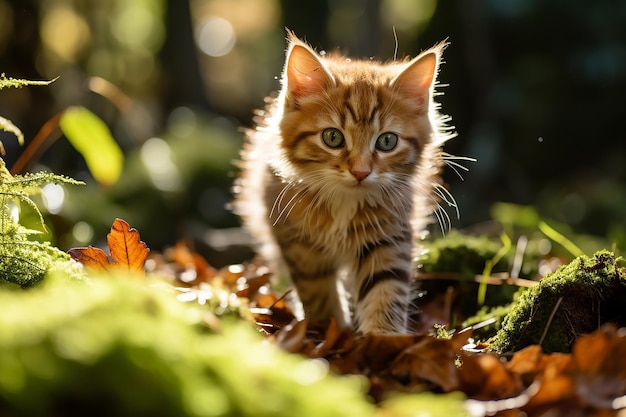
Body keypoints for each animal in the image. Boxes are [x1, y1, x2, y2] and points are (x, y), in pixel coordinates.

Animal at [233, 30, 454, 334]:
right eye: (332, 137)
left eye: (387, 141)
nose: (360, 172)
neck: (344, 201)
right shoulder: (298, 242)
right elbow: (317, 291)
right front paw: (328, 329)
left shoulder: (389, 233)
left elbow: (385, 290)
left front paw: (381, 337)